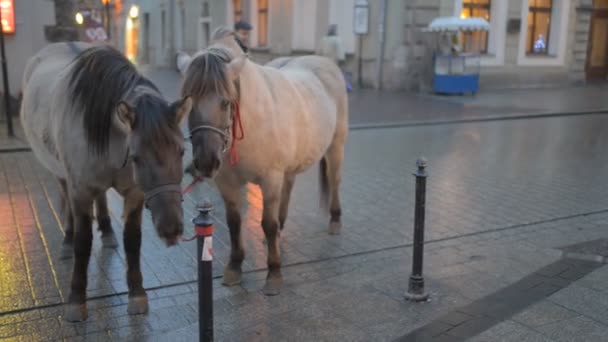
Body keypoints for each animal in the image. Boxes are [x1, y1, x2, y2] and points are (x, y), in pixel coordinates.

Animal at [21, 42, 191, 320]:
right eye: (136, 157)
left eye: (181, 151)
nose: (171, 230)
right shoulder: (80, 190)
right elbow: (83, 243)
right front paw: (76, 300)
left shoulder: (134, 192)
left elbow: (132, 240)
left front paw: (137, 293)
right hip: (60, 174)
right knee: (67, 202)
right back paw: (67, 240)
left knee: (101, 197)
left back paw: (108, 231)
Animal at [177, 29, 346, 296]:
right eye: (188, 101)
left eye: (225, 102)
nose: (205, 162)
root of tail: (325, 61)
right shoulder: (228, 183)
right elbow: (234, 222)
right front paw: (234, 267)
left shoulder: (270, 178)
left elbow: (267, 222)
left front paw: (274, 273)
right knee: (288, 189)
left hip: (335, 146)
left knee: (334, 180)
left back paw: (335, 220)